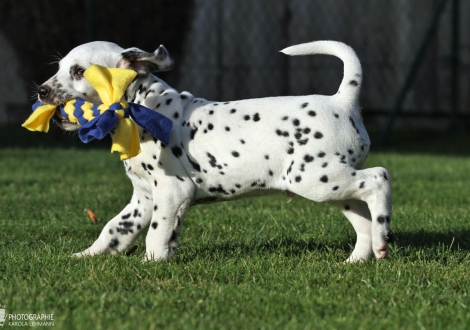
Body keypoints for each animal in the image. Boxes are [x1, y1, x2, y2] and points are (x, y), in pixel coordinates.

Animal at [38, 40, 394, 262]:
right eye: (59, 66)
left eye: (78, 71)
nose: (41, 91)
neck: (141, 108)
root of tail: (342, 101)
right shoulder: (143, 197)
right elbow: (115, 228)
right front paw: (87, 255)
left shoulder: (171, 191)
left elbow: (156, 233)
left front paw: (151, 263)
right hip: (334, 188)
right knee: (363, 215)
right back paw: (360, 257)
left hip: (316, 178)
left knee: (379, 178)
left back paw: (383, 237)